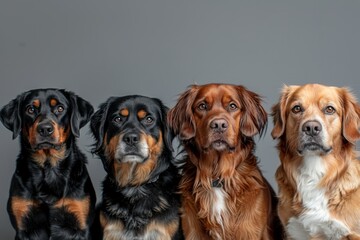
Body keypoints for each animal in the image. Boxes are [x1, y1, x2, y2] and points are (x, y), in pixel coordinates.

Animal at [0, 88, 95, 240]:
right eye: (31, 109)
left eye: (60, 108)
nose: (45, 128)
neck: (48, 166)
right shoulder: (23, 227)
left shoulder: (81, 226)